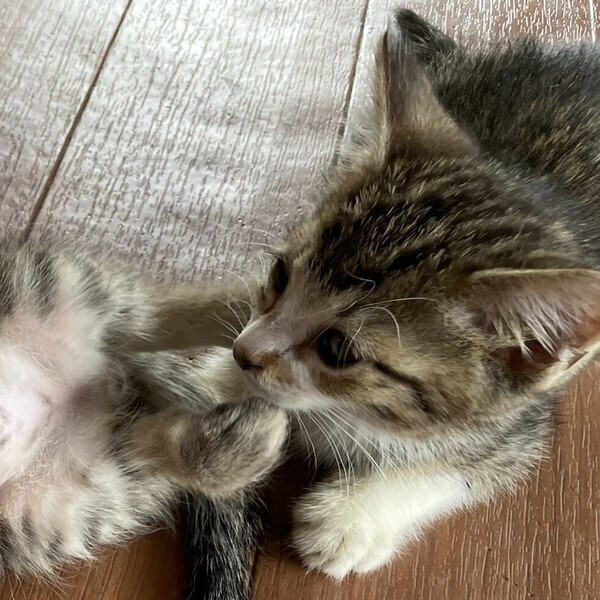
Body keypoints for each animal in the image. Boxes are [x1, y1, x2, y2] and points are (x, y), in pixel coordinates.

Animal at [192, 8, 600, 579]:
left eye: (338, 350)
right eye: (278, 274)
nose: (243, 352)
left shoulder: (519, 428)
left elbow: (464, 470)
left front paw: (351, 517)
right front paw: (223, 378)